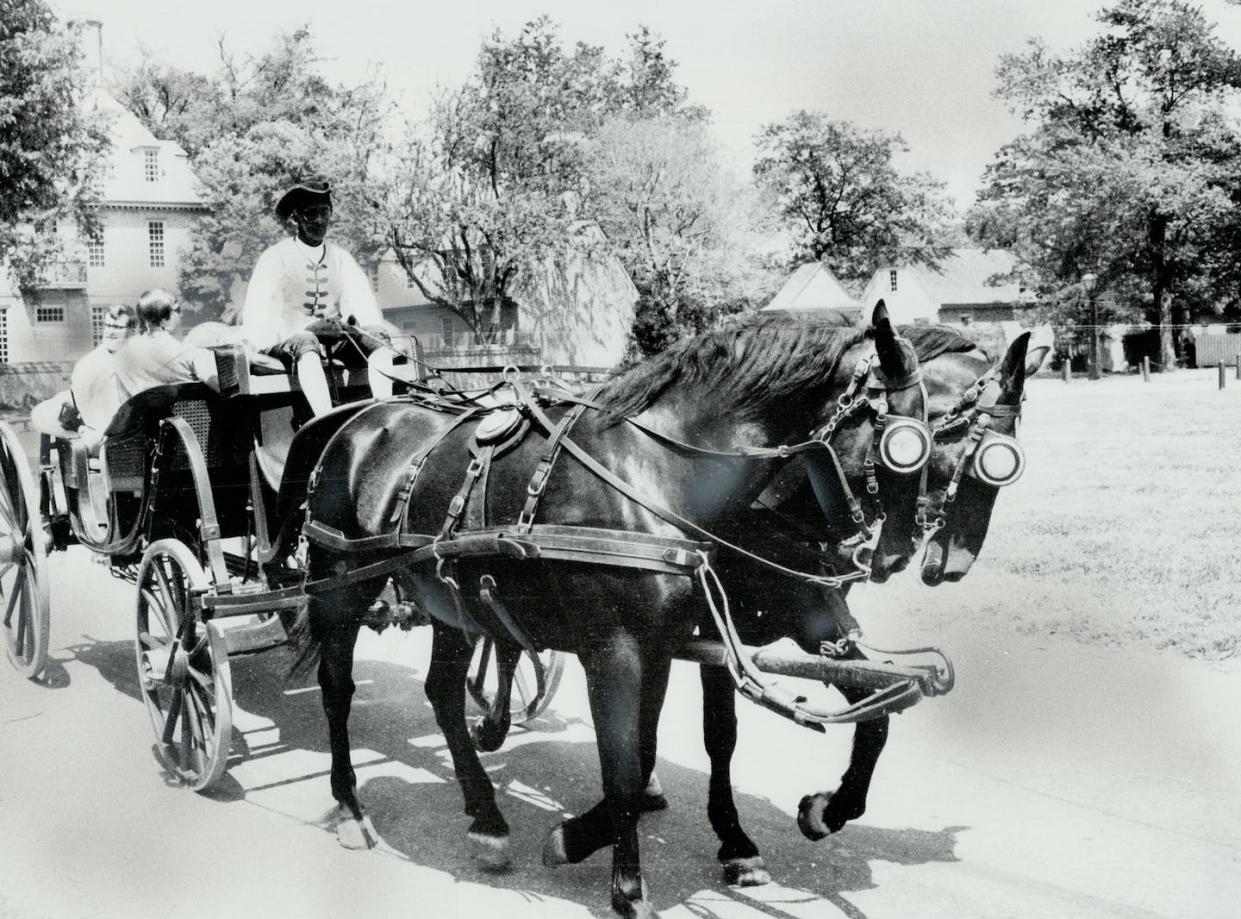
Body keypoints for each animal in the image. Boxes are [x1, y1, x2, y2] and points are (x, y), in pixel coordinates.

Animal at [292, 305, 1037, 912]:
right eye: (911, 442)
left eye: (1001, 459)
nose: (924, 559)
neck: (657, 473)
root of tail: (359, 420)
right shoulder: (625, 647)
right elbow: (643, 753)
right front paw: (623, 874)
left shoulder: (756, 626)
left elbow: (869, 709)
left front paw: (819, 810)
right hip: (340, 585)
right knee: (337, 687)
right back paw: (352, 806)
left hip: (451, 601)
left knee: (444, 692)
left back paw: (486, 817)